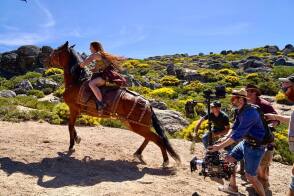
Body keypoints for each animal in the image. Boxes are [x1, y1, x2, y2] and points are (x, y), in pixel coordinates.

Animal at [49, 42, 180, 166]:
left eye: (56, 51)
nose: (48, 60)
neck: (76, 81)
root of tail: (148, 103)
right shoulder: (76, 110)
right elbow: (72, 126)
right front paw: (77, 139)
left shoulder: (73, 109)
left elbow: (70, 126)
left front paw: (71, 146)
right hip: (133, 124)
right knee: (149, 137)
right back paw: (138, 154)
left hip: (137, 125)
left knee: (158, 139)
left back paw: (165, 161)